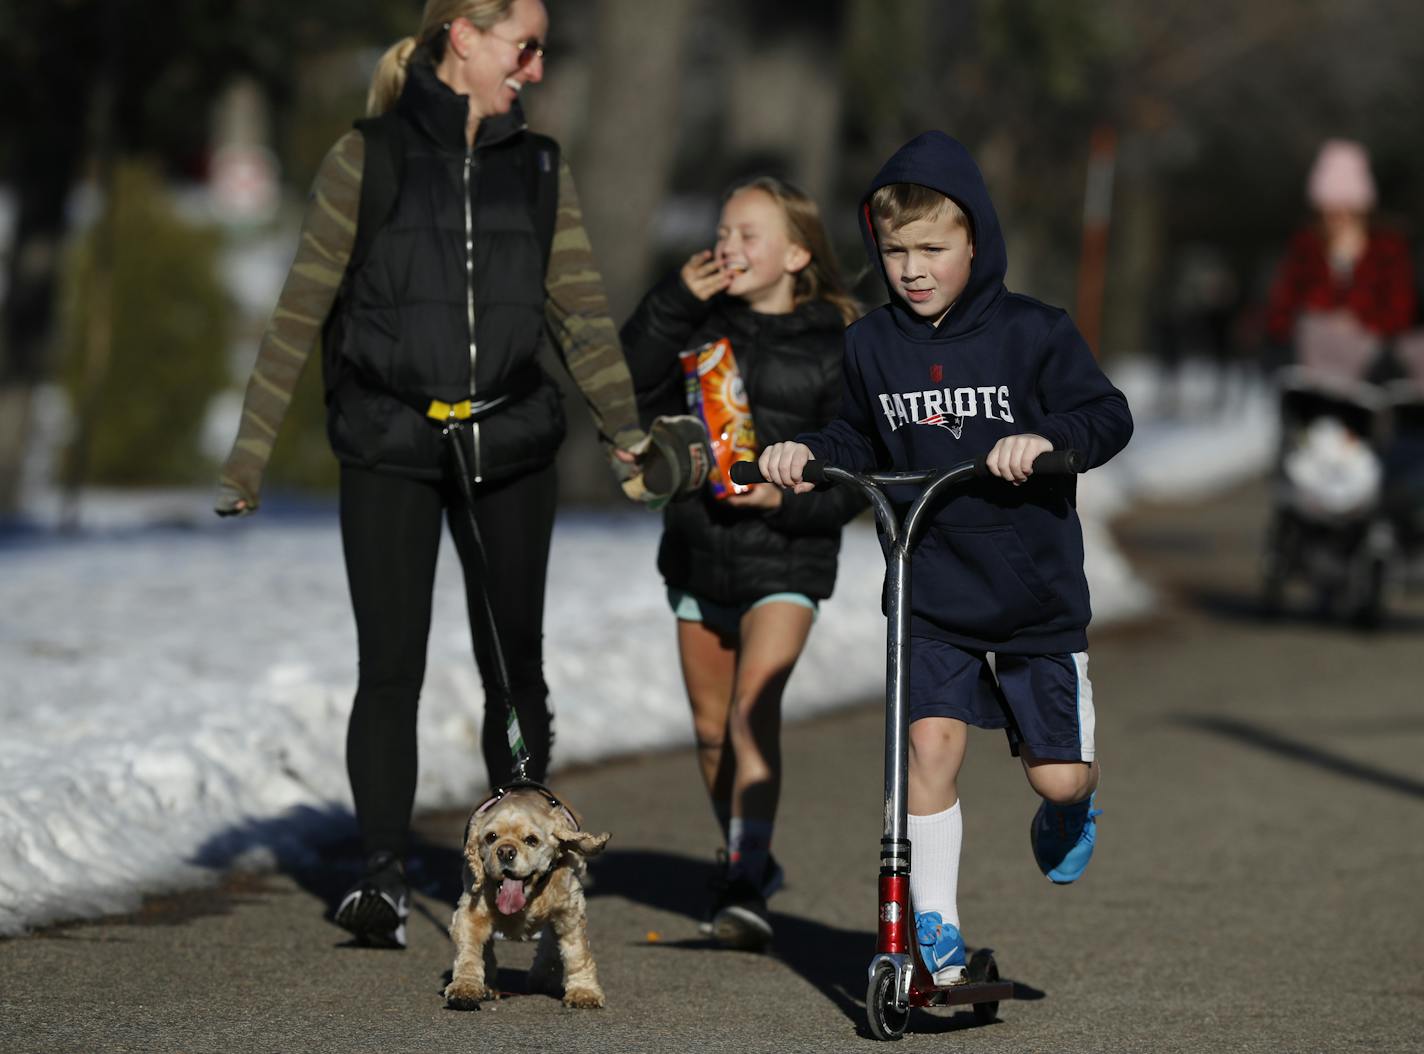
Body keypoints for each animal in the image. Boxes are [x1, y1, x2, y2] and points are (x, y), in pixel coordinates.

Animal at [447, 786, 609, 1008]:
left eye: (531, 840)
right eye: (491, 837)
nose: (505, 851)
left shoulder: (569, 911)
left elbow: (577, 951)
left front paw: (584, 992)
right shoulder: (472, 912)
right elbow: (469, 951)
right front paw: (465, 988)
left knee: (549, 943)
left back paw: (541, 978)